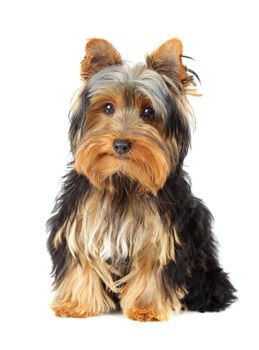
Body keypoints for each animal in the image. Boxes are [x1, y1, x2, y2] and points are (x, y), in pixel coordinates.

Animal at [46, 37, 238, 320]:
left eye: (148, 112)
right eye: (108, 108)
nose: (121, 144)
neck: (124, 181)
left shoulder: (161, 234)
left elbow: (152, 267)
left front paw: (146, 308)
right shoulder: (81, 222)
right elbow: (81, 261)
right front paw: (75, 304)